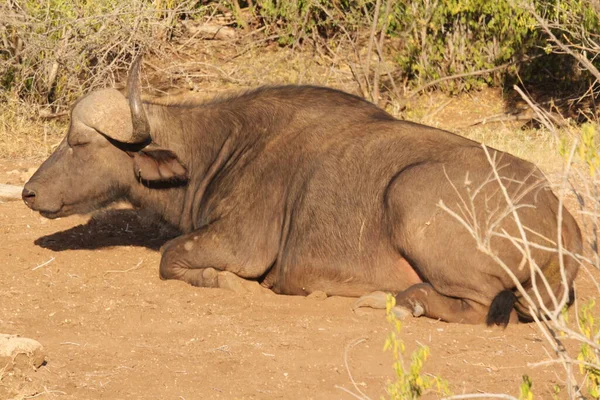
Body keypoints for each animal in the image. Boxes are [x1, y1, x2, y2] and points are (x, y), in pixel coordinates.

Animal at [22, 57, 580, 324]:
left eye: (77, 142)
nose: (28, 193)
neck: (223, 147)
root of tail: (562, 222)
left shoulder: (241, 245)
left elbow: (170, 256)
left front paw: (220, 281)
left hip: (409, 194)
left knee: (477, 303)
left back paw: (404, 302)